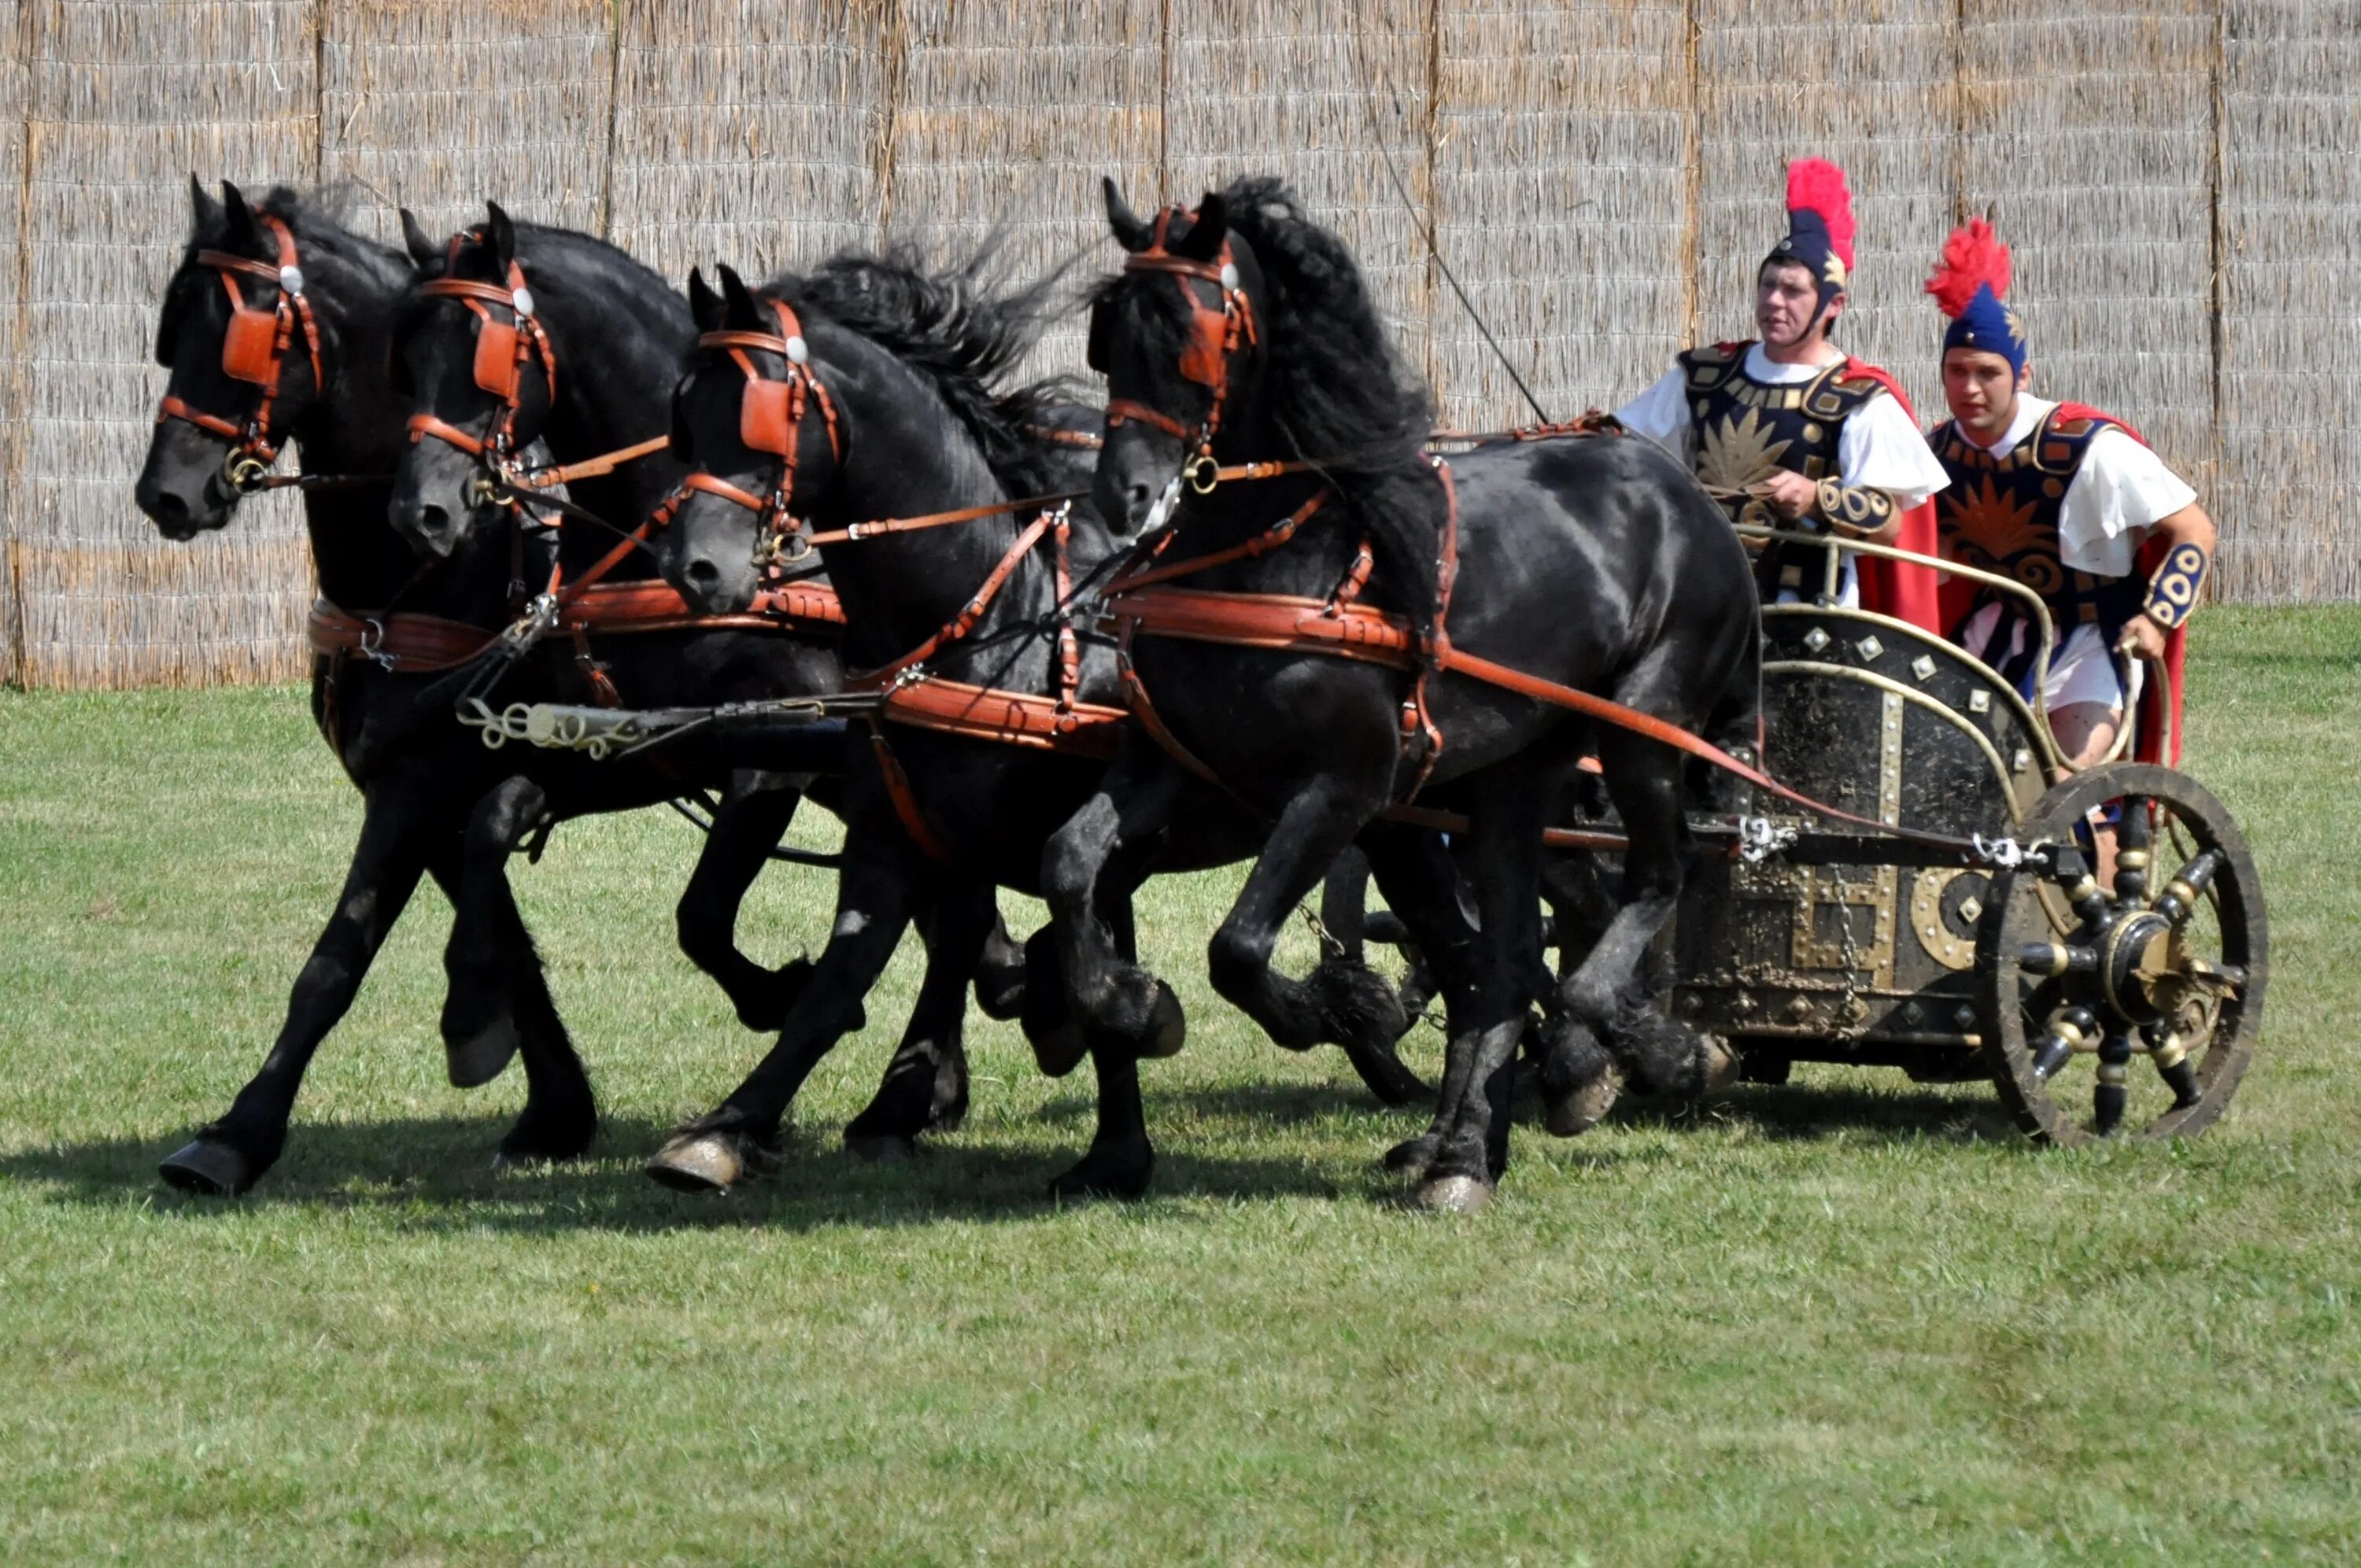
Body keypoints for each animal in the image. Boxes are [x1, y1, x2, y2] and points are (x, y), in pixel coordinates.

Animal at [131, 180, 831, 1190]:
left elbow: (351, 950)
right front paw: (546, 1100)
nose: (166, 494)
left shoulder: (721, 748)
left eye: (242, 332)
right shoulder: (430, 777)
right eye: (171, 328)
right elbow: (477, 924)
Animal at [637, 251, 1435, 1194]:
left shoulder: (1114, 842)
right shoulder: (889, 841)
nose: (695, 568)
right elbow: (836, 987)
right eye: (685, 417)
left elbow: (1091, 977)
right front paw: (729, 1128)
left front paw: (1120, 1103)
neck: (995, 624)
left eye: (760, 414)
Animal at [1062, 180, 1766, 1208]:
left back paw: (1627, 1054)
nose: (1126, 495)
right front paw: (1130, 1003)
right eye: (1107, 334)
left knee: (1650, 881)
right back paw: (1466, 1153)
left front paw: (1328, 1009)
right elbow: (1071, 862)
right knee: (1505, 960)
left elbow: (1238, 947)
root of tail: (1683, 491)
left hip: (1643, 730)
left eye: (1193, 335)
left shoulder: (1343, 789)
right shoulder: (1174, 765)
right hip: (1505, 783)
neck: (1277, 557)